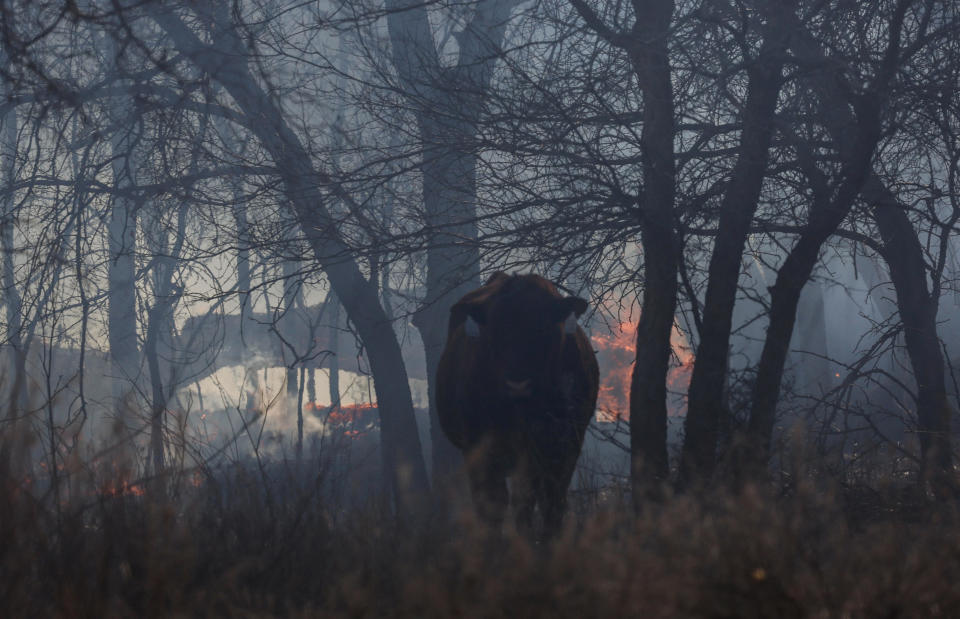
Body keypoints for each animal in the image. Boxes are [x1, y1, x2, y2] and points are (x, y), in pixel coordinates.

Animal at [436, 272, 600, 536]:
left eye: (543, 328)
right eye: (494, 330)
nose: (517, 383)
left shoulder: (563, 447)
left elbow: (547, 501)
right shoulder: (479, 447)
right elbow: (494, 504)